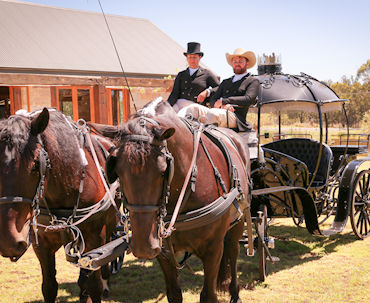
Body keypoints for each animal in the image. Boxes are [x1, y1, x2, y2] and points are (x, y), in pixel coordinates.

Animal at [0, 108, 118, 302]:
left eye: (36, 164)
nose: (9, 242)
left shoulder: (94, 238)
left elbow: (94, 284)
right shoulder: (41, 244)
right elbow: (49, 287)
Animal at [95, 100, 251, 303]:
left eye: (163, 170)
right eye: (117, 171)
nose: (144, 247)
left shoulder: (213, 249)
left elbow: (208, 294)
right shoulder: (164, 252)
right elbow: (174, 294)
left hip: (238, 222)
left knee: (233, 251)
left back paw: (235, 293)